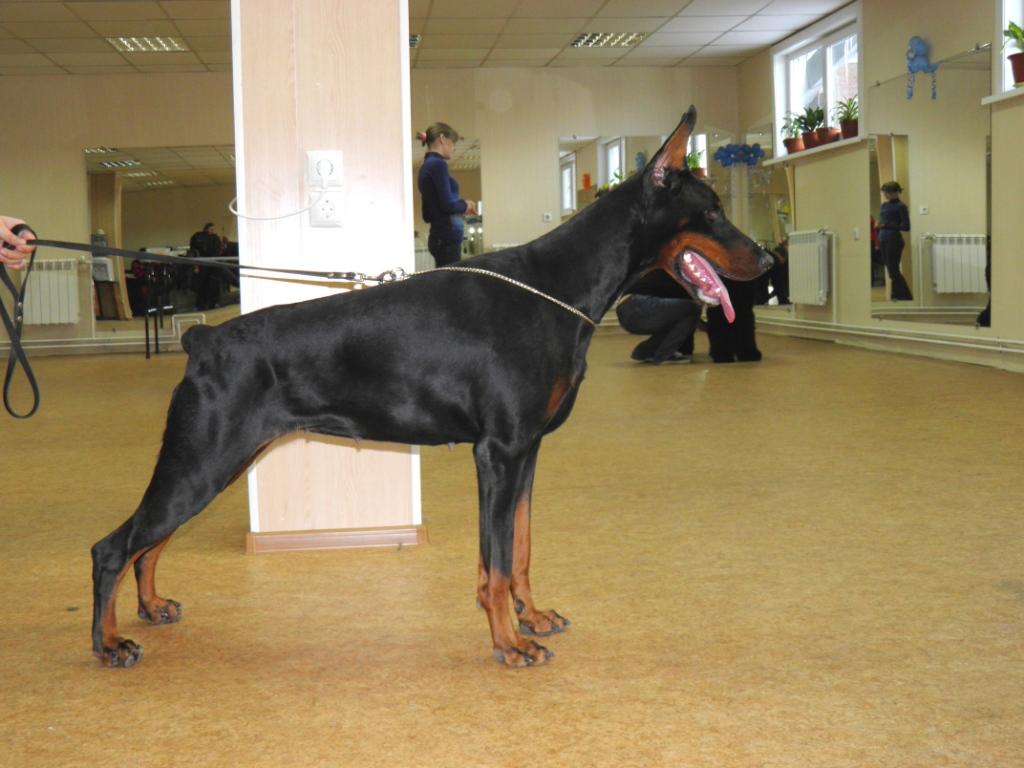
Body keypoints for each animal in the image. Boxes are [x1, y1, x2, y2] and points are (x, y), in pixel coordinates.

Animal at [91, 106, 772, 669]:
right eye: (712, 211)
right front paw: (510, 644)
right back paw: (110, 642)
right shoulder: (497, 452)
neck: (557, 286)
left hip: (216, 462)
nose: (766, 260)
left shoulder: (526, 452)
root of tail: (203, 340)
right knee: (113, 546)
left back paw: (152, 608)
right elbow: (496, 563)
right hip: (204, 458)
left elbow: (517, 549)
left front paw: (532, 616)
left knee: (149, 542)